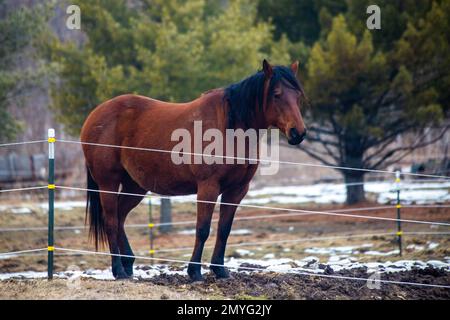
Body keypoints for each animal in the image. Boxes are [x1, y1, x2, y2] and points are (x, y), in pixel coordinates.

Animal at [80, 59, 306, 280]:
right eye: (277, 94)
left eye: (297, 95)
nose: (298, 133)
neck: (229, 127)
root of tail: (95, 114)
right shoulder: (208, 187)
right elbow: (203, 229)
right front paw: (195, 271)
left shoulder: (237, 190)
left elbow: (224, 229)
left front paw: (220, 270)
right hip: (108, 182)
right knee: (110, 220)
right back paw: (118, 270)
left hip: (134, 186)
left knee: (119, 217)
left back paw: (128, 265)